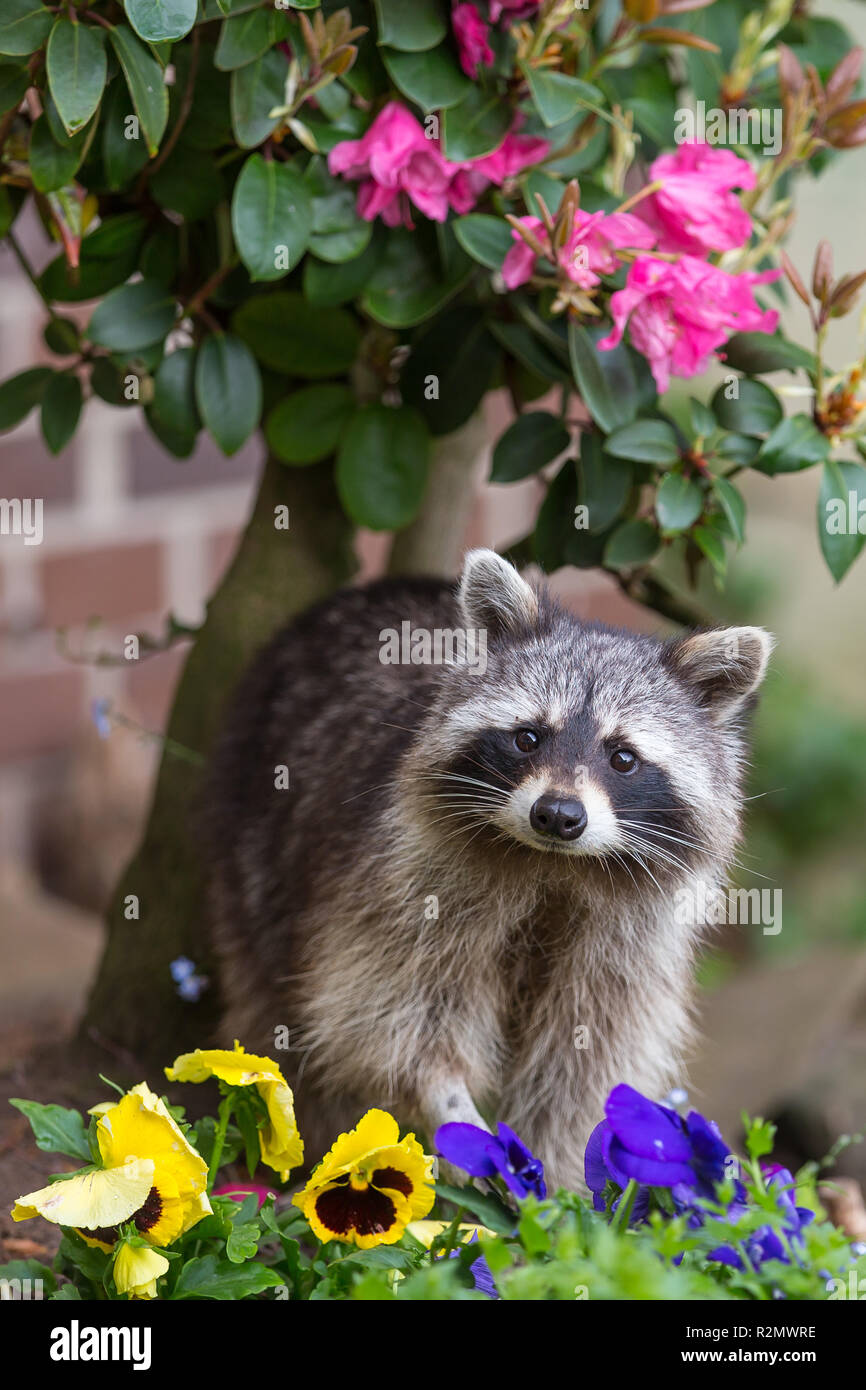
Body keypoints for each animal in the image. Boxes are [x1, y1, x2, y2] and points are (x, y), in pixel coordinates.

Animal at [207, 547, 778, 1189]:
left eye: (623, 757)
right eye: (528, 737)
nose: (557, 815)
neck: (555, 867)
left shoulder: (629, 943)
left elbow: (583, 1064)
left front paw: (566, 1184)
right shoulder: (404, 885)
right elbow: (387, 1016)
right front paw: (451, 1102)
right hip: (251, 833)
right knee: (277, 1012)